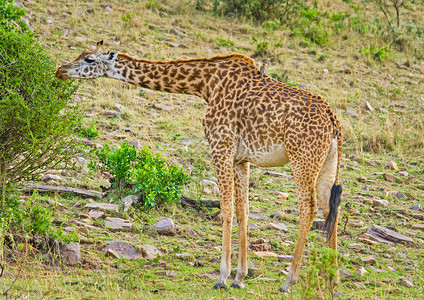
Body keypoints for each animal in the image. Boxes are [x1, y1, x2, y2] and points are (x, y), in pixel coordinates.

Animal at [56, 41, 342, 292]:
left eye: (89, 59)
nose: (61, 70)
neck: (206, 84)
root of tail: (333, 122)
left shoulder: (220, 145)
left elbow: (226, 209)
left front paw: (222, 277)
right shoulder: (241, 158)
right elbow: (243, 212)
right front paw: (239, 278)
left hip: (302, 159)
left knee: (309, 208)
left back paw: (289, 282)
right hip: (328, 163)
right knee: (331, 208)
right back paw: (331, 282)